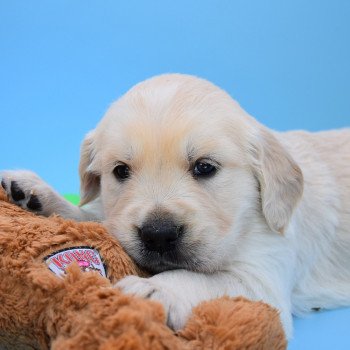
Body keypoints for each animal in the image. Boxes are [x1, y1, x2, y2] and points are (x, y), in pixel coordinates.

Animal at [2, 74, 350, 340]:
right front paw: (38, 195)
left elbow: (201, 279)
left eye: (205, 167)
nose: (158, 234)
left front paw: (151, 290)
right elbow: (95, 218)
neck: (243, 222)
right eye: (120, 171)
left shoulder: (264, 279)